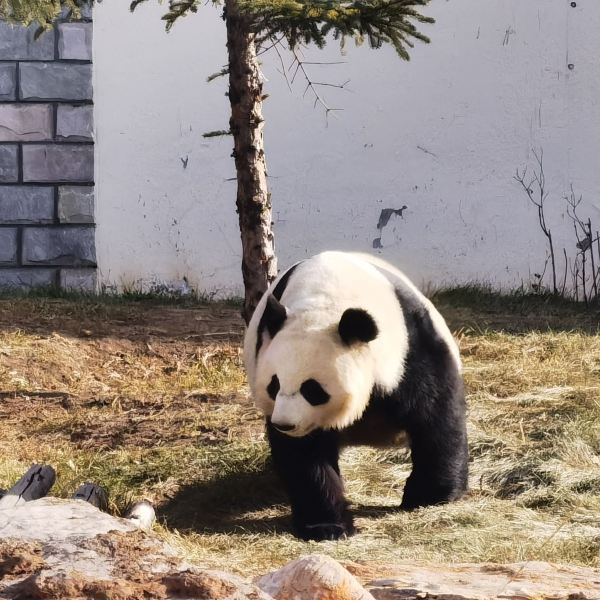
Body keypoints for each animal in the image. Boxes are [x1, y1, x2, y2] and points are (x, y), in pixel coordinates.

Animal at [244, 251, 468, 540]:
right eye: (274, 385)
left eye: (312, 389)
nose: (285, 424)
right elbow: (305, 455)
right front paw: (326, 526)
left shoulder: (410, 349)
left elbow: (434, 414)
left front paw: (430, 496)